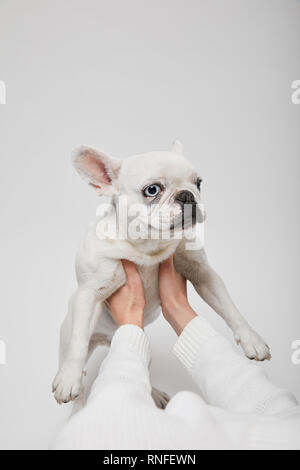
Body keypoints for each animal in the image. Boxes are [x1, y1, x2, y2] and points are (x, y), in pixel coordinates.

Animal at [52, 140, 270, 408]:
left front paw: (251, 339)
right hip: (67, 335)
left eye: (198, 183)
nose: (187, 195)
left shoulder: (204, 274)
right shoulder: (89, 293)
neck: (148, 247)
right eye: (152, 190)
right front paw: (69, 378)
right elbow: (79, 342)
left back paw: (153, 393)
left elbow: (229, 307)